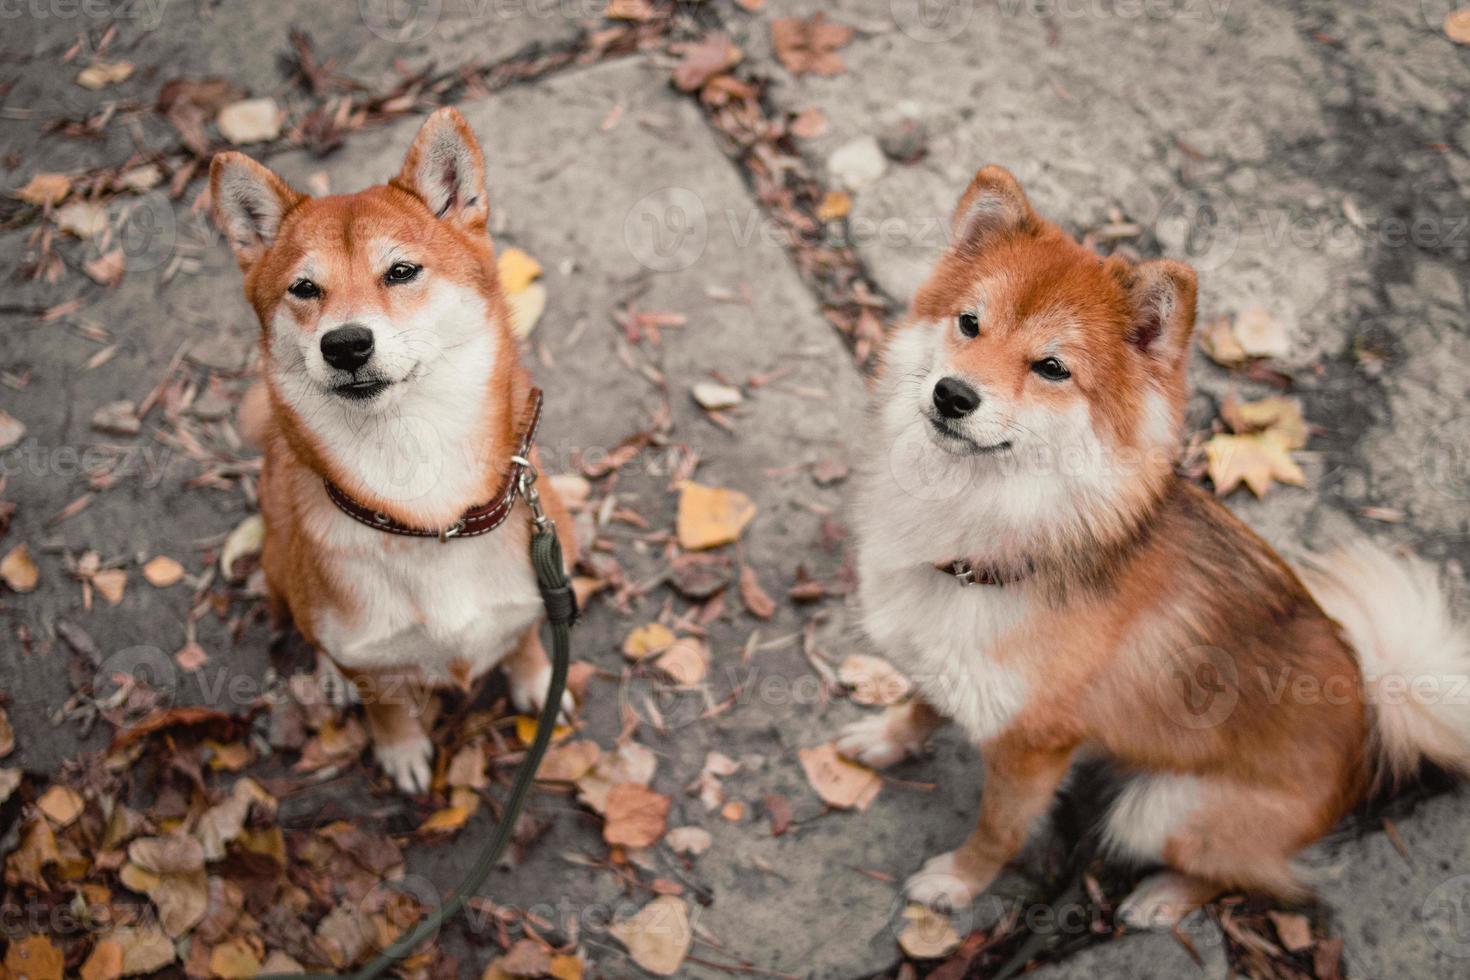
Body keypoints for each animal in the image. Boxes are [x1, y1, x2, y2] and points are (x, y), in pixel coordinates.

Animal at [213, 109, 573, 799]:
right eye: (305, 288)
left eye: (401, 271)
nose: (345, 344)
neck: (427, 515)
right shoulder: (369, 661)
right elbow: (384, 703)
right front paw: (400, 746)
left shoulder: (534, 595)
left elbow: (523, 640)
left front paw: (537, 680)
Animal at [840, 164, 1470, 922]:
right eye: (969, 323)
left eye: (1052, 368)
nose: (952, 394)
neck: (988, 526)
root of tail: (1371, 725)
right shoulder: (948, 662)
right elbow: (921, 703)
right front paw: (887, 738)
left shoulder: (1031, 749)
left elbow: (998, 828)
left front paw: (959, 882)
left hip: (1160, 809)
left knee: (1252, 876)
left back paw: (1163, 899)